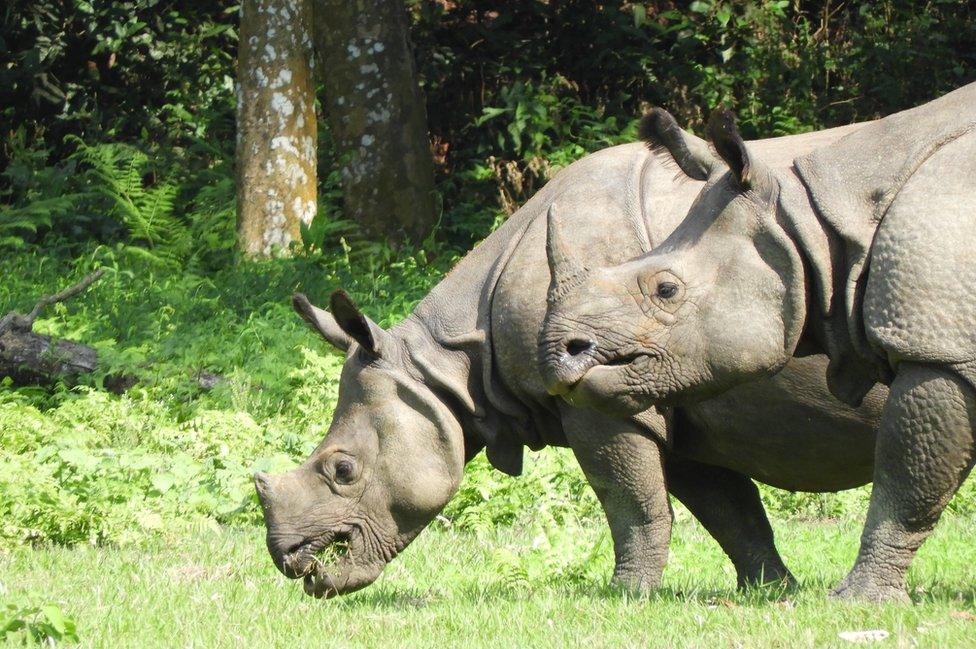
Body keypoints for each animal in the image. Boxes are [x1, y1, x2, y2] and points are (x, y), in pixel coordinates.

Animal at [252, 120, 884, 596]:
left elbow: (632, 505)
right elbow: (731, 511)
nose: (291, 561)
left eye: (343, 471)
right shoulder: (670, 393)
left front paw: (626, 595)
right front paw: (772, 592)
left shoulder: (611, 399)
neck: (444, 366)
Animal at [540, 82, 976, 604]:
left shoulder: (940, 350)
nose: (559, 352)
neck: (815, 222)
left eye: (666, 290)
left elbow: (907, 480)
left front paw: (857, 601)